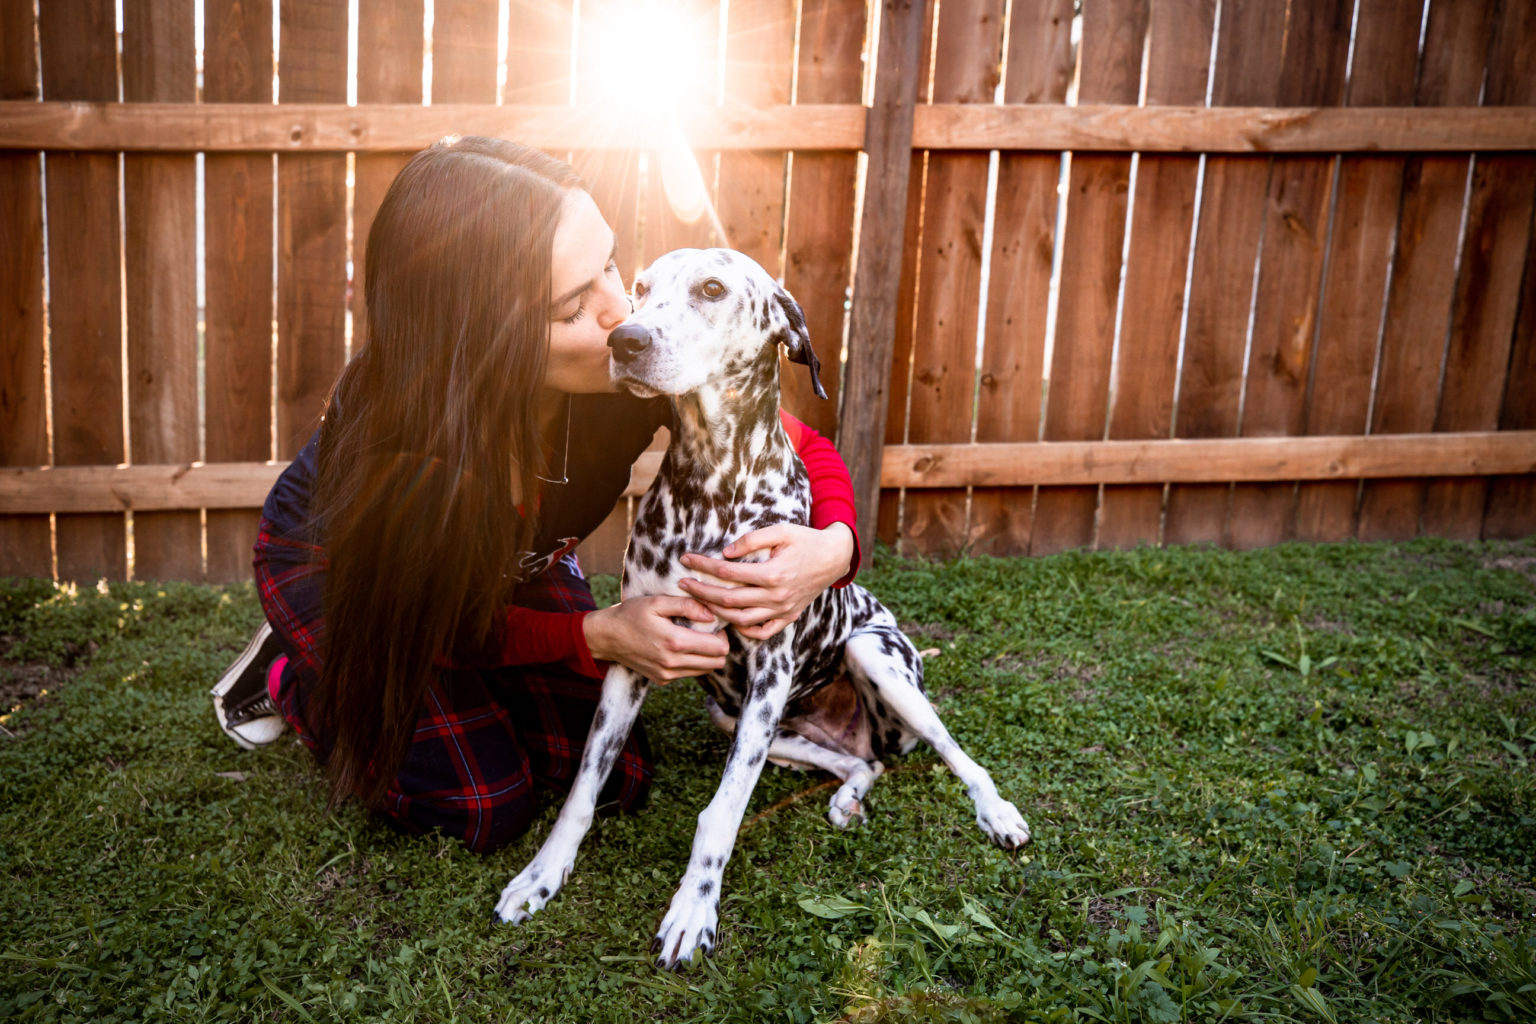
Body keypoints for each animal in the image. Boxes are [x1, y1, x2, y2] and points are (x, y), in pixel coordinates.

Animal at [494, 248, 1032, 970]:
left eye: (712, 288)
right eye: (639, 288)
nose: (624, 341)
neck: (712, 485)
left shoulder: (772, 669)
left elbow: (720, 813)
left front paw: (692, 911)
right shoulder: (633, 660)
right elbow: (585, 785)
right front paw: (541, 876)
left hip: (870, 657)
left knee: (957, 754)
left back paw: (996, 812)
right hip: (747, 720)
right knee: (862, 764)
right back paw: (849, 796)